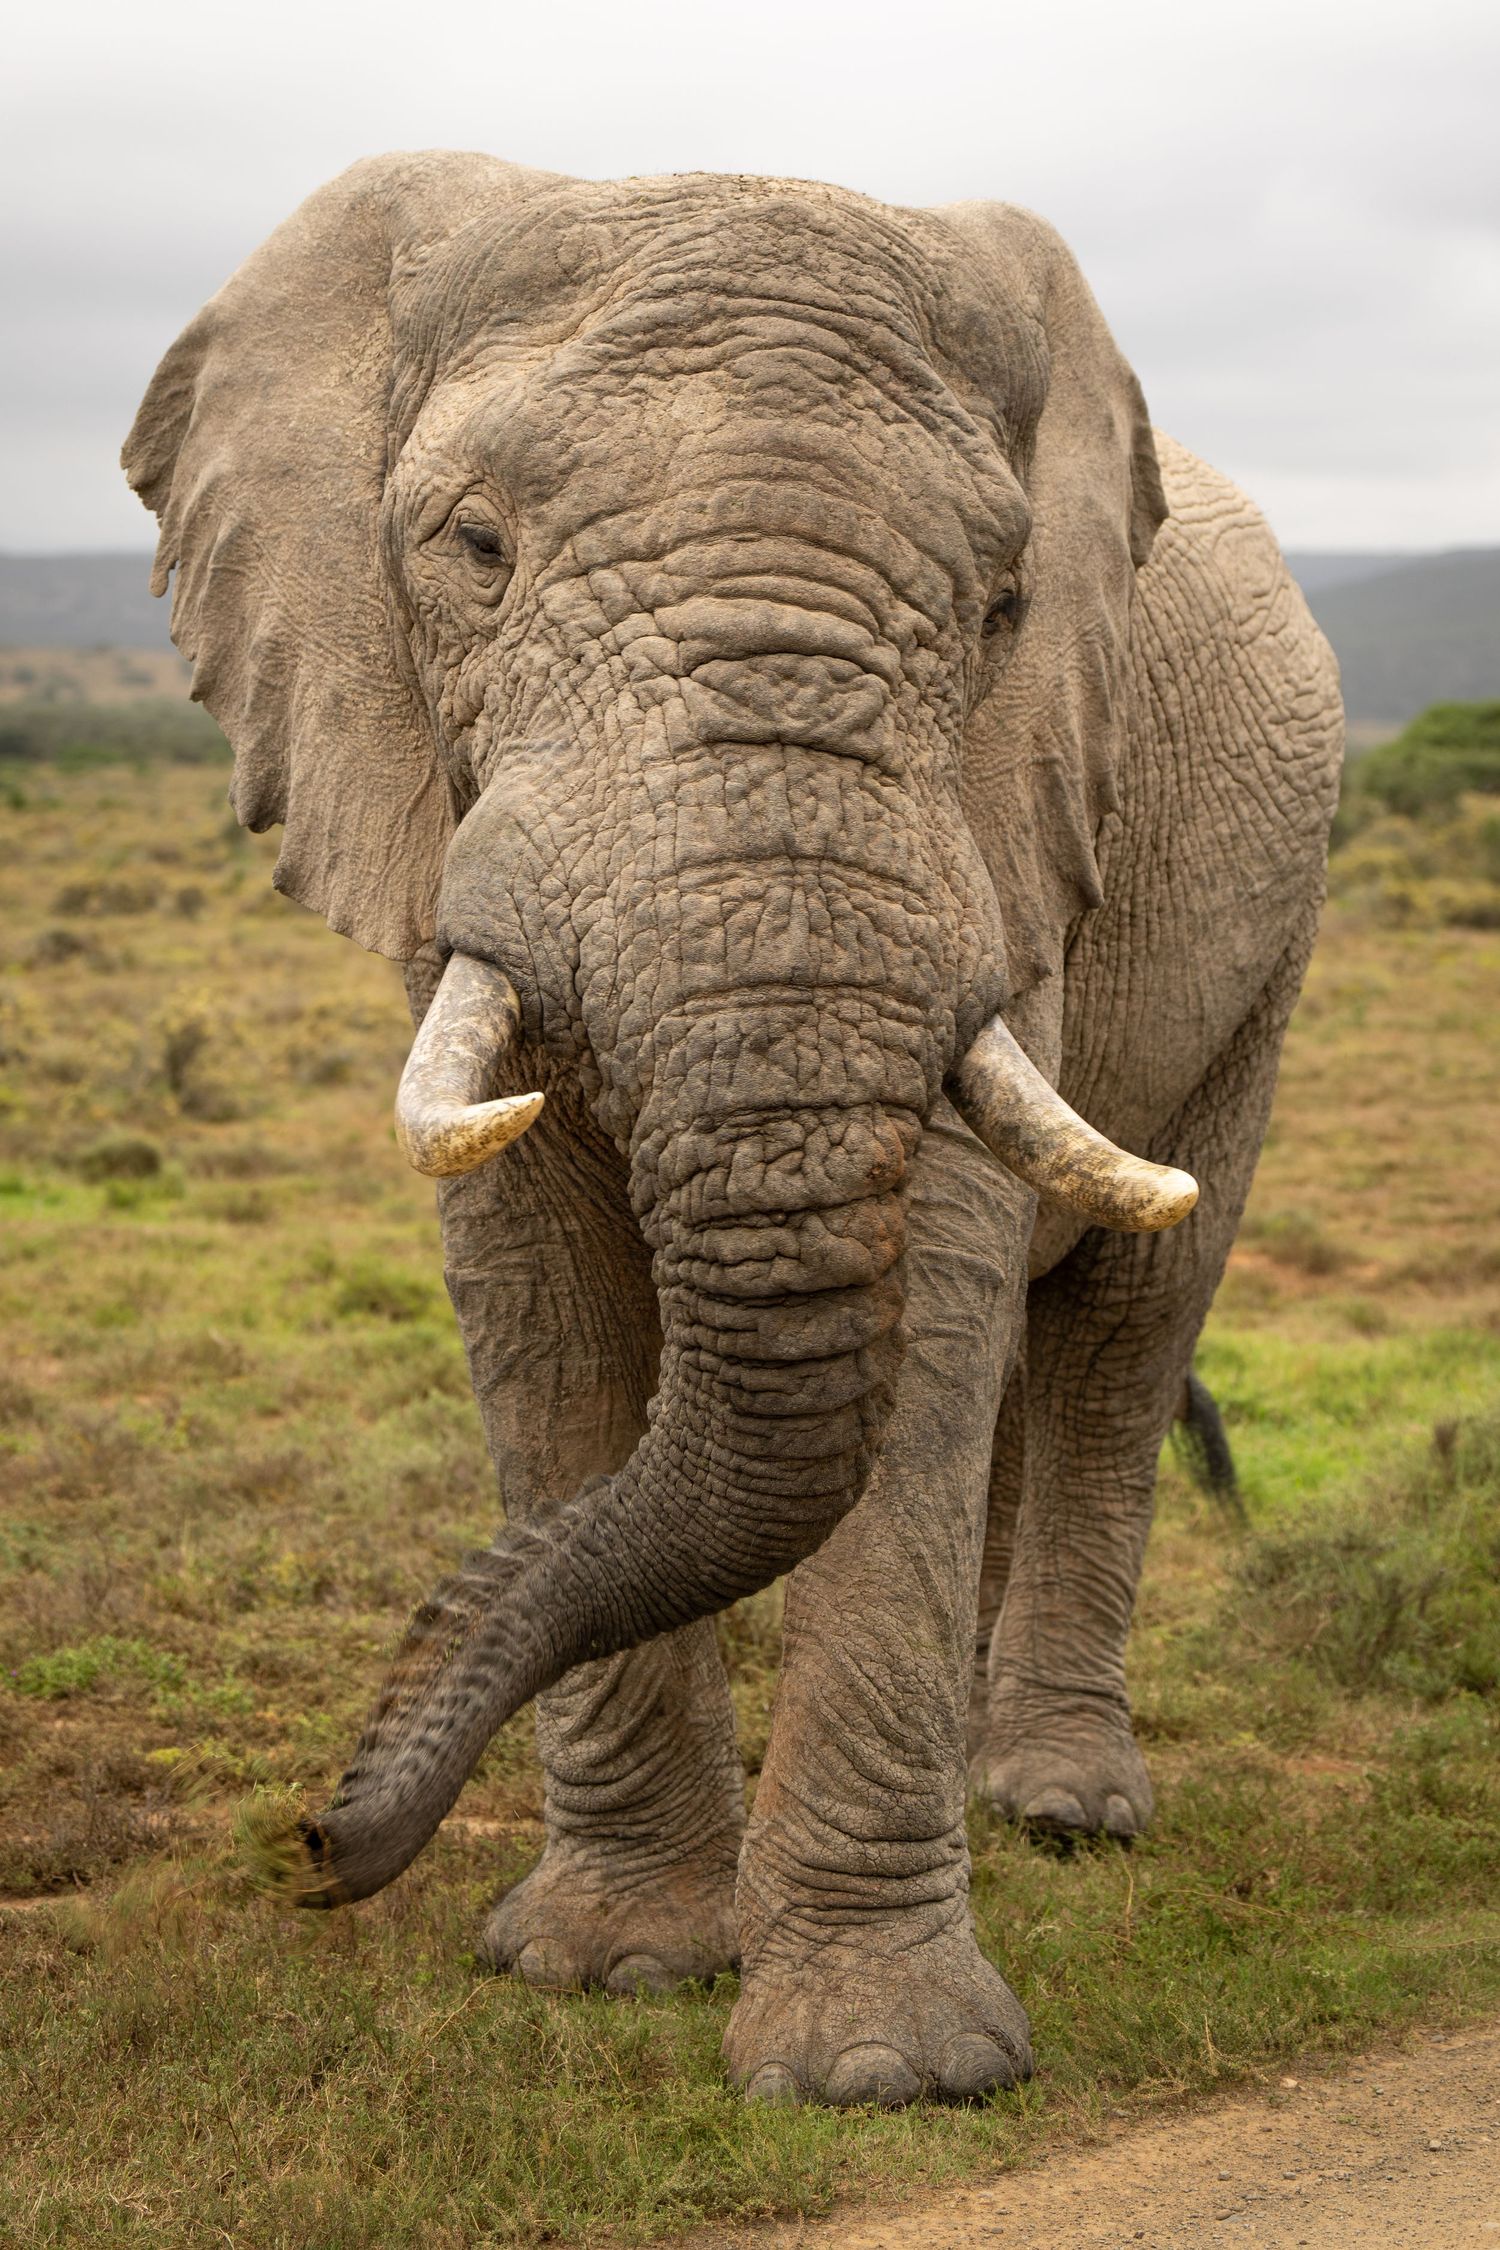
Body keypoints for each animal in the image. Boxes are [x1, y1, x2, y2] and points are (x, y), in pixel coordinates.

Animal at [124, 154, 1342, 2108]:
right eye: (473, 550)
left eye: (1006, 604)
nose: (313, 1846)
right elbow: (541, 1303)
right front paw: (602, 1970)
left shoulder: (1013, 823)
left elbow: (930, 1295)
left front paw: (882, 2076)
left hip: (1275, 939)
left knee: (1120, 1340)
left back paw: (1060, 1811)